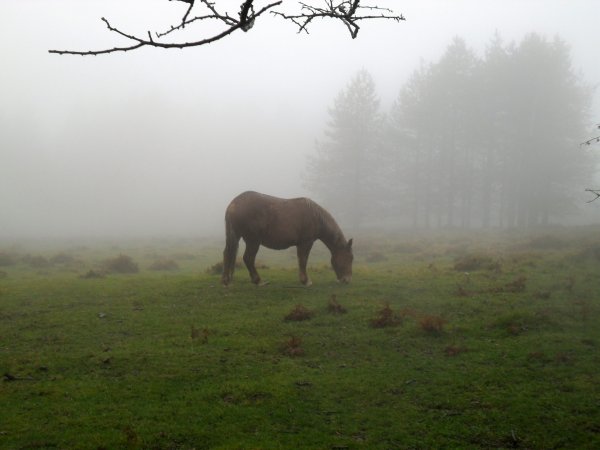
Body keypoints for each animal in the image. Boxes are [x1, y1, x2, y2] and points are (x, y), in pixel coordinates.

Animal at [220, 192, 352, 286]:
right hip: (253, 241)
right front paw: (306, 281)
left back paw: (226, 280)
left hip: (237, 238)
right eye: (350, 258)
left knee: (228, 254)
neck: (316, 216)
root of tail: (233, 204)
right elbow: (303, 260)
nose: (347, 280)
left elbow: (301, 261)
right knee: (248, 258)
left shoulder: (301, 244)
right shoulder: (306, 243)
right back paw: (258, 281)